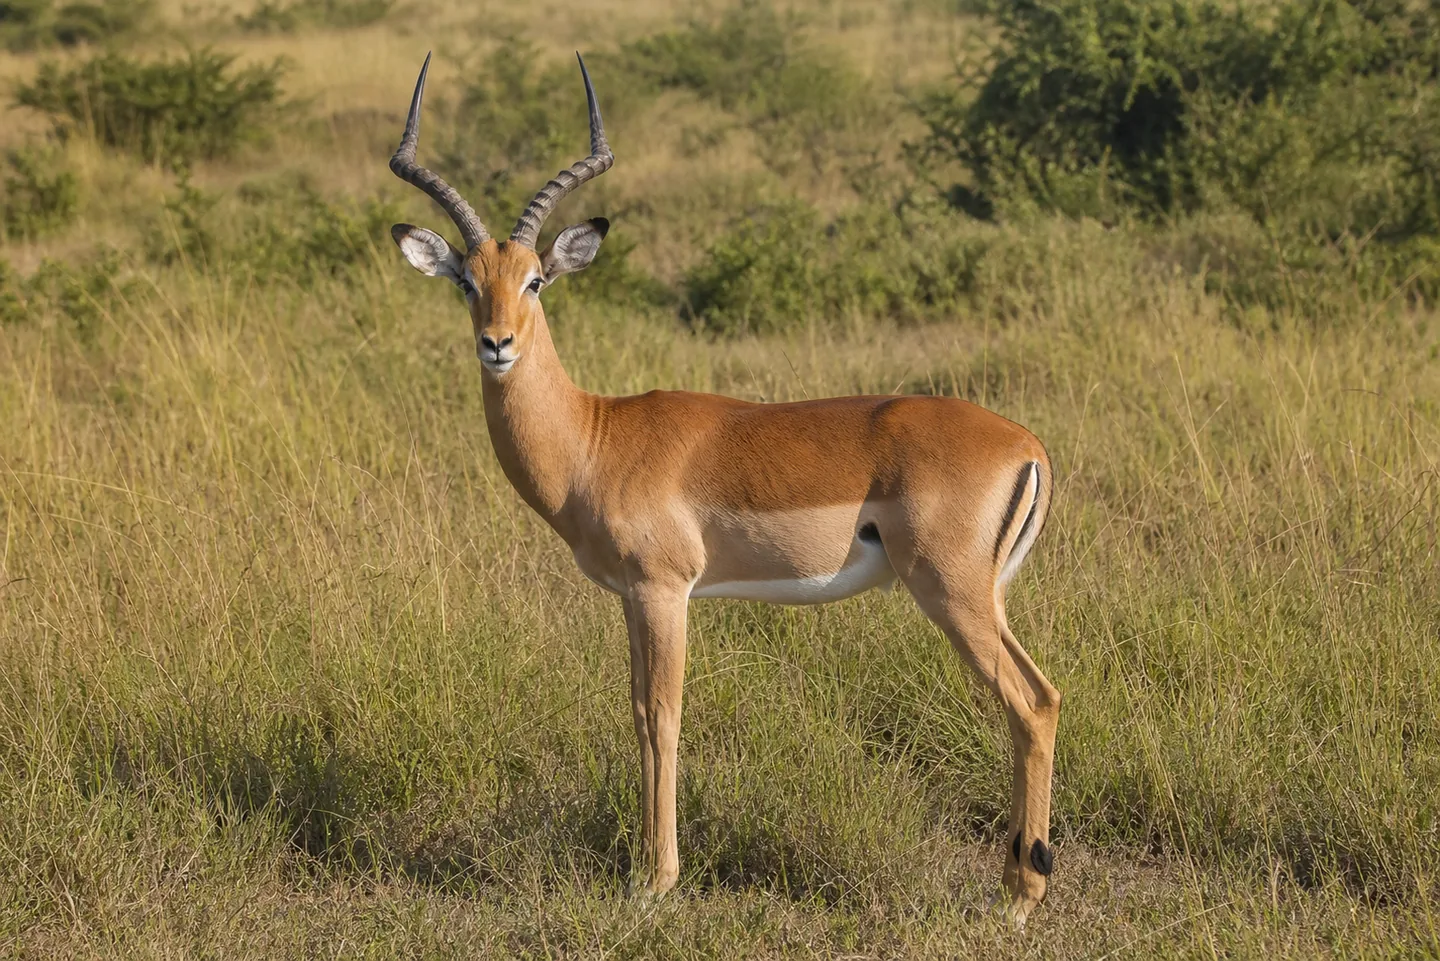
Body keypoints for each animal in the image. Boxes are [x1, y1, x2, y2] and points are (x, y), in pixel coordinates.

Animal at [387, 52, 1061, 924]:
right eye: (467, 282)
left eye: (536, 280)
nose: (497, 344)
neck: (596, 436)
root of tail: (1027, 445)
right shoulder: (631, 597)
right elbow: (638, 712)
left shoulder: (664, 589)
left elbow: (662, 717)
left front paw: (656, 879)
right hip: (983, 597)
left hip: (951, 592)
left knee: (1032, 701)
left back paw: (1018, 896)